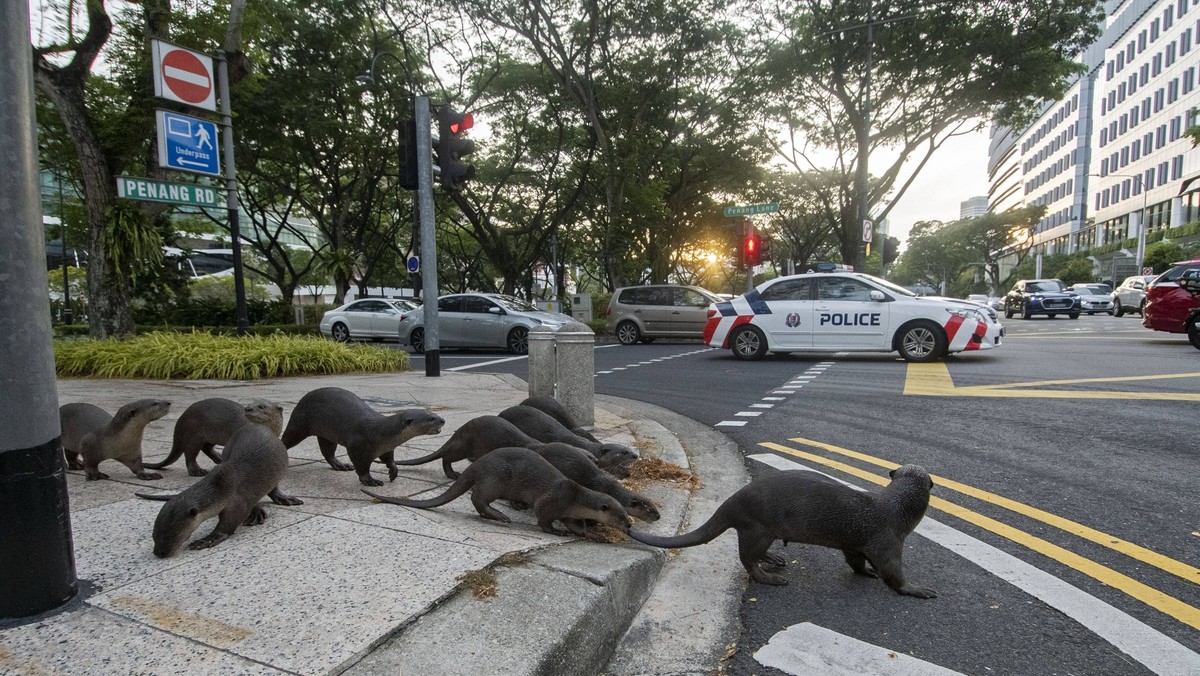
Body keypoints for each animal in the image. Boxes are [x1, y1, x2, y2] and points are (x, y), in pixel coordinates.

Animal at [138, 401, 303, 557]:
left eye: (171, 535)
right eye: (155, 534)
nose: (159, 552)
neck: (221, 487)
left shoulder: (238, 503)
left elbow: (228, 525)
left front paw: (207, 540)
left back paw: (284, 499)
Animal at [280, 387, 445, 486]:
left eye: (434, 414)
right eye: (430, 419)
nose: (443, 420)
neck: (380, 433)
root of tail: (301, 401)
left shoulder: (387, 448)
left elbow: (388, 458)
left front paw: (393, 470)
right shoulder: (357, 446)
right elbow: (361, 466)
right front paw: (370, 480)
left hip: (326, 435)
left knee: (328, 451)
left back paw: (340, 465)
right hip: (298, 424)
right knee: (287, 439)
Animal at [363, 447, 631, 537]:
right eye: (621, 515)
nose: (629, 526)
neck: (574, 498)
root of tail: (477, 464)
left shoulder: (569, 512)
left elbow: (576, 526)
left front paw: (593, 534)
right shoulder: (552, 501)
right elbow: (543, 517)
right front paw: (555, 531)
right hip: (496, 479)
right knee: (477, 498)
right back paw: (501, 516)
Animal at [394, 415, 596, 480]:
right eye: (589, 458)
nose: (596, 464)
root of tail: (457, 433)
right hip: (464, 446)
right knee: (447, 456)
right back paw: (452, 474)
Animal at [627, 466, 937, 597]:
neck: (894, 510)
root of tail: (733, 500)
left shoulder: (853, 542)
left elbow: (855, 561)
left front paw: (866, 571)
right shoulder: (887, 539)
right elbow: (892, 571)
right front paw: (917, 589)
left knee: (753, 555)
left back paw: (775, 559)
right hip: (758, 528)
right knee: (747, 559)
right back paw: (771, 578)